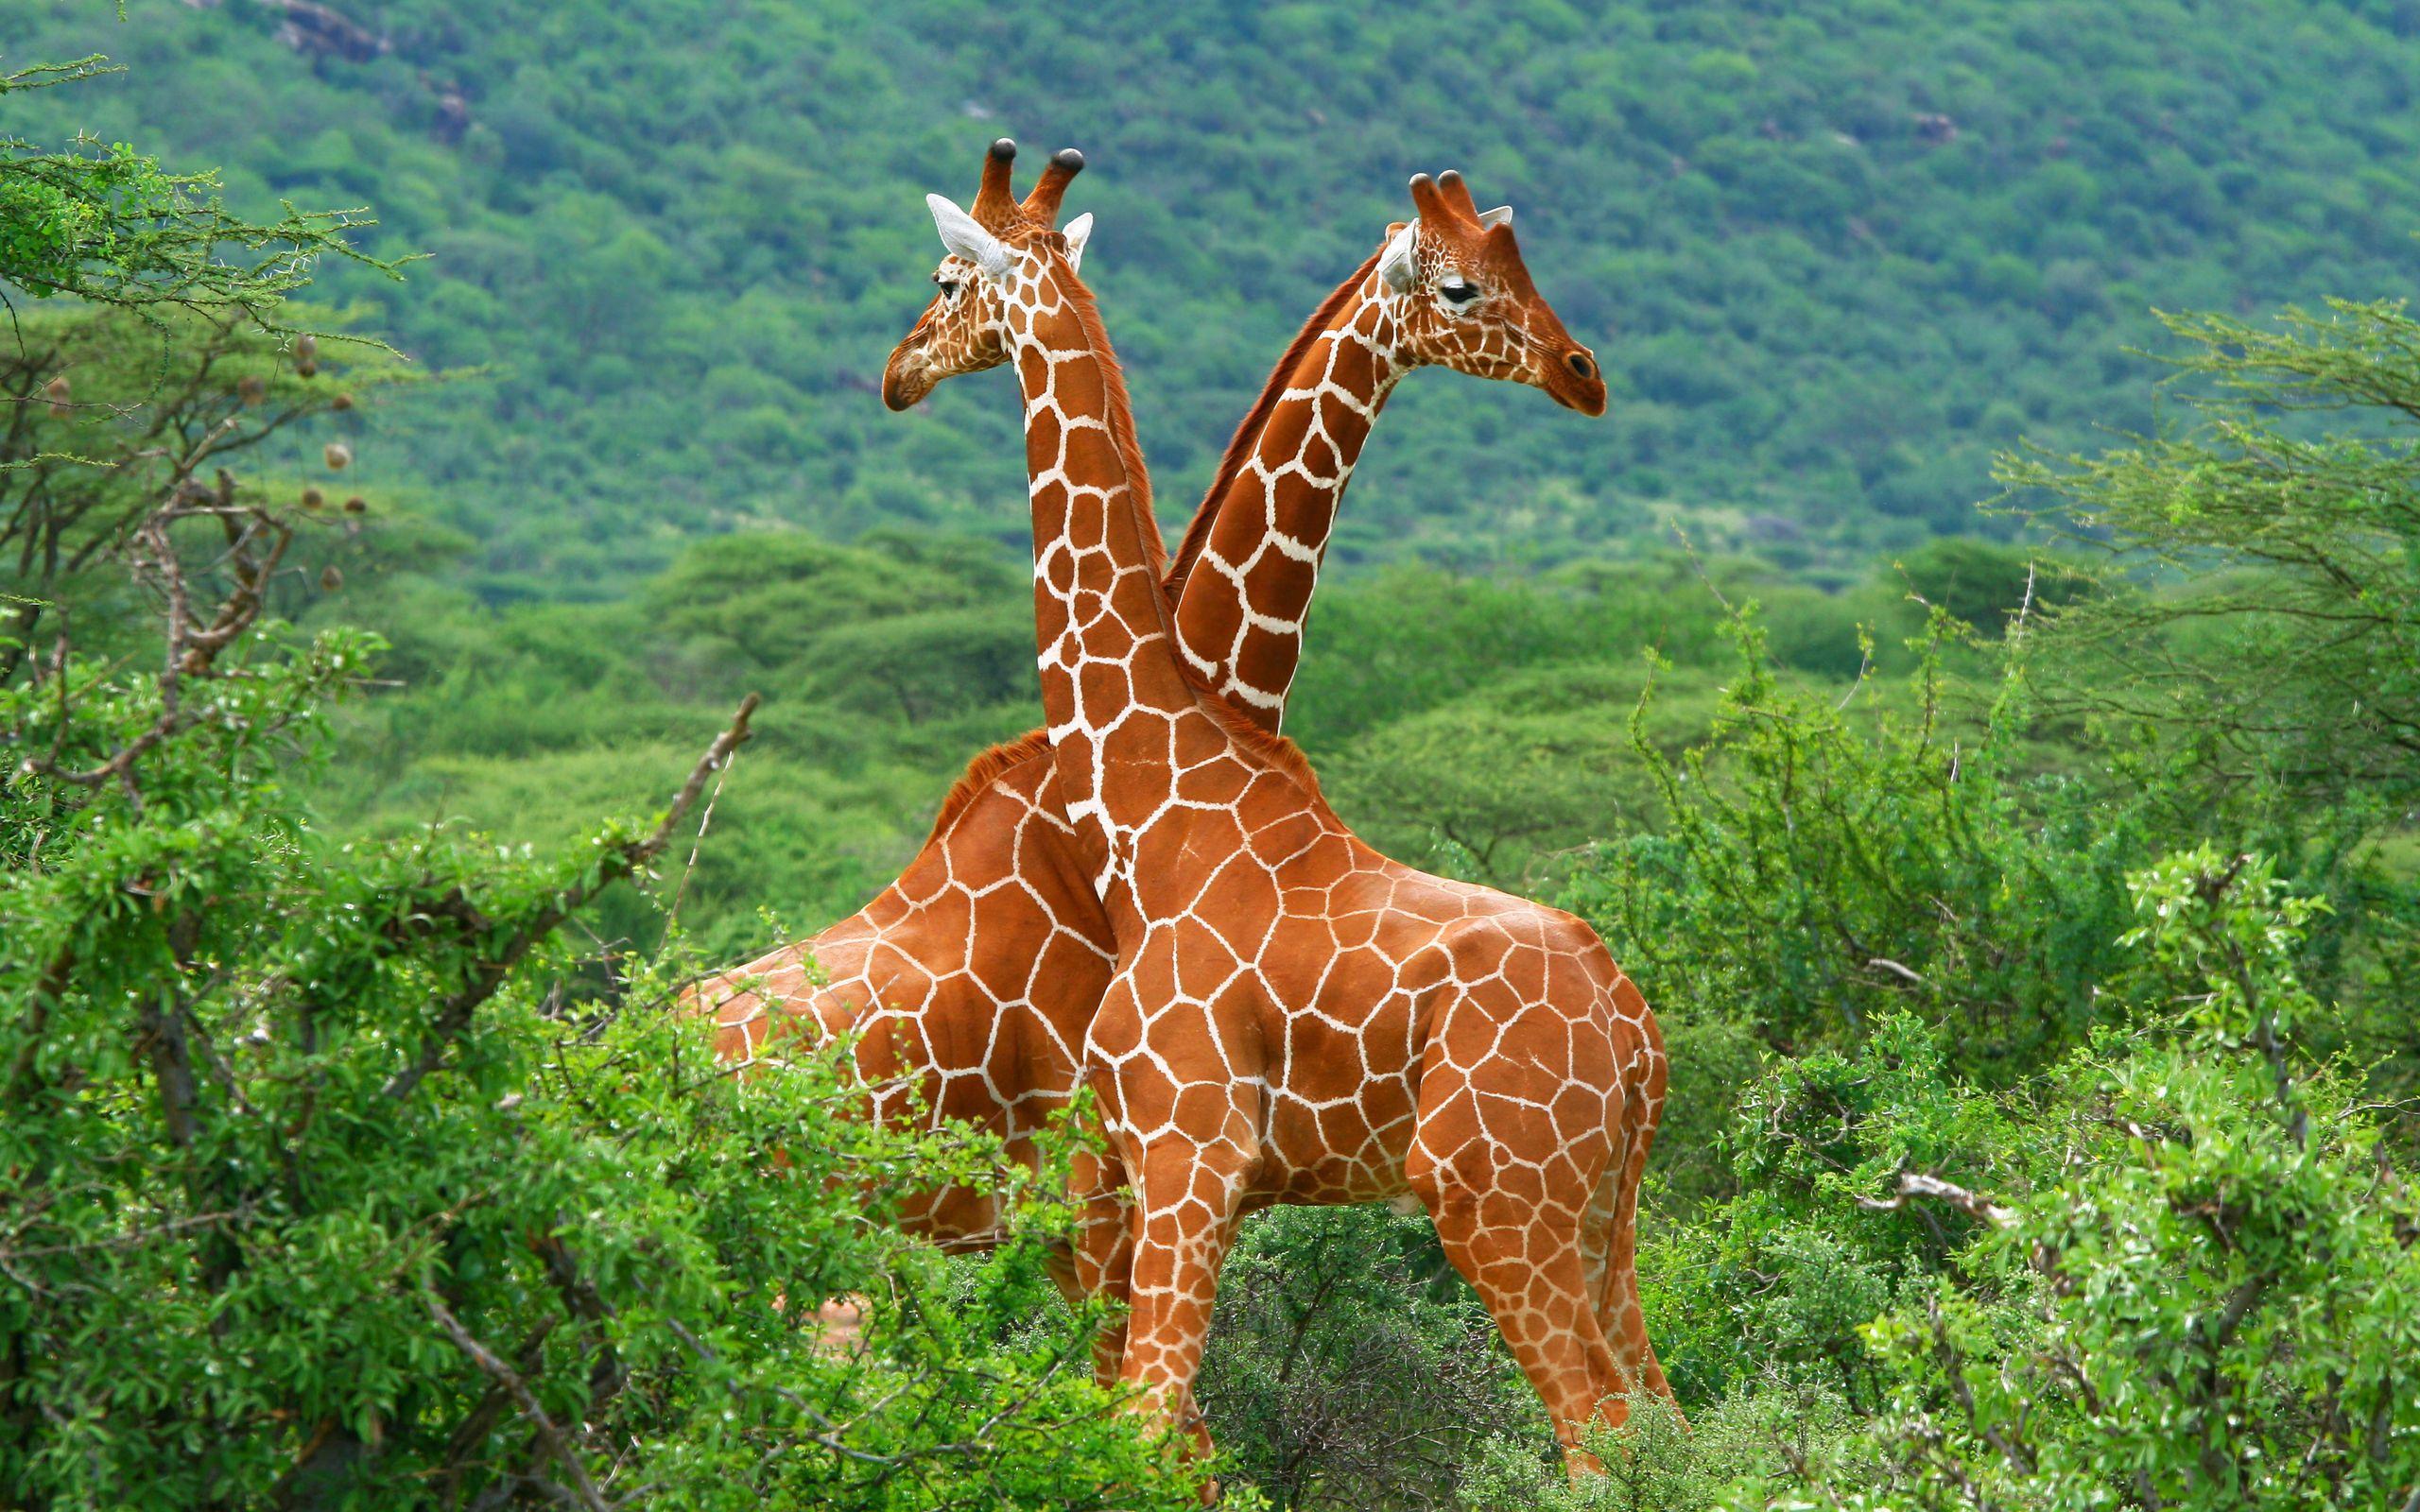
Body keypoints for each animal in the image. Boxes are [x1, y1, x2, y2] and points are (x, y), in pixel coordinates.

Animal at [878, 141, 1670, 1465]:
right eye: (1467, 282)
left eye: (945, 279)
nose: (896, 372)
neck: (1152, 803)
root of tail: (1637, 1034)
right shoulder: (1154, 1176)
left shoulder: (1182, 1150)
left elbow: (1149, 1432)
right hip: (1603, 1217)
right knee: (1673, 1418)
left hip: (1496, 1197)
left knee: (1601, 1431)